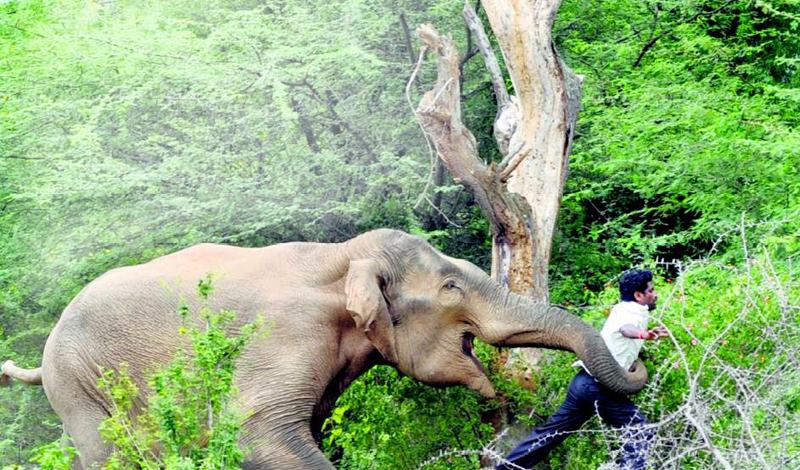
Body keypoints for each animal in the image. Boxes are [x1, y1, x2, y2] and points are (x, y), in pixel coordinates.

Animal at [0, 227, 644, 466]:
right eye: (451, 287)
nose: (641, 369)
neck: (341, 255)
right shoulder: (283, 338)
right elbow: (258, 432)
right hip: (79, 389)